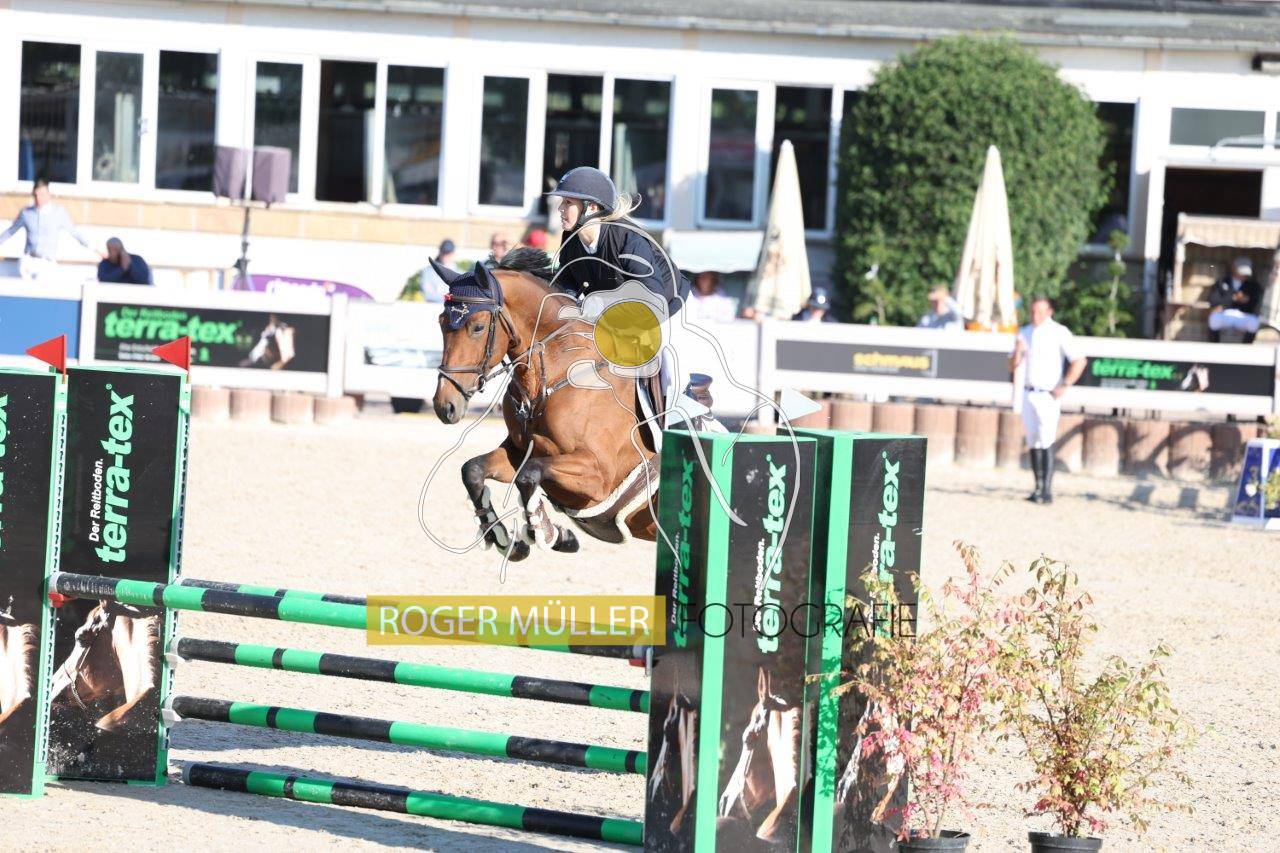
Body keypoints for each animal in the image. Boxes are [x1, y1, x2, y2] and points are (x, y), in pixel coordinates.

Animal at [431, 248, 660, 561]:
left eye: (477, 327)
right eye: (442, 322)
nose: (445, 406)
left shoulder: (599, 476)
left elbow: (529, 476)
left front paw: (551, 534)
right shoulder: (519, 452)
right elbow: (474, 470)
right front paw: (508, 541)